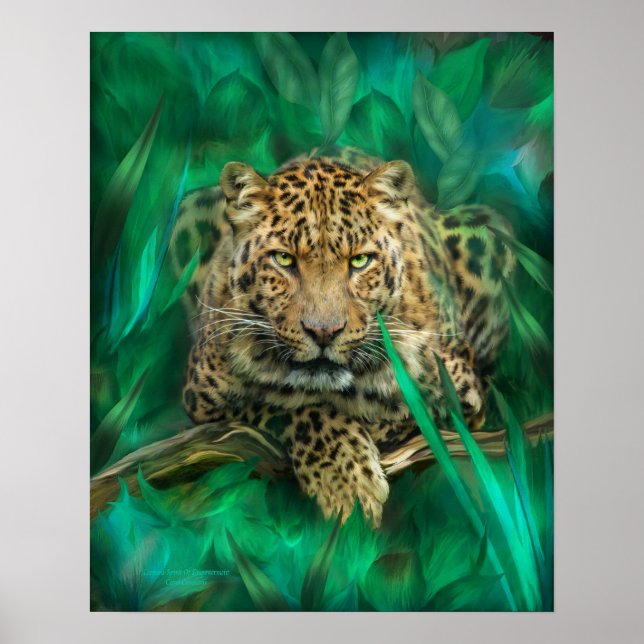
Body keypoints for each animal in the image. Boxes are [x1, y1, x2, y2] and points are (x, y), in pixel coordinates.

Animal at [170, 146, 515, 527]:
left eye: (360, 261)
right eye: (283, 259)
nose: (324, 332)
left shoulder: (463, 392)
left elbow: (414, 409)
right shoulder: (203, 400)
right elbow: (286, 404)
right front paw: (343, 480)